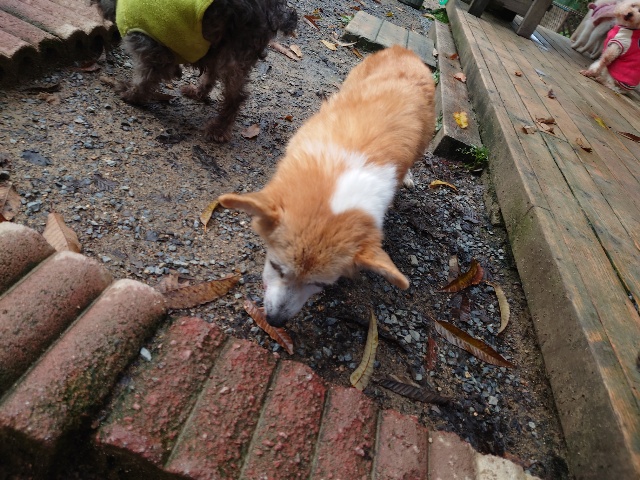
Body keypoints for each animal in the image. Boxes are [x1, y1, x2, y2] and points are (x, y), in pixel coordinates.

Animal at [94, 0, 297, 142]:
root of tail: (276, 10)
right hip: (219, 44)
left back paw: (218, 130)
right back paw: (197, 92)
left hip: (234, 52)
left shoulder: (151, 48)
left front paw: (130, 94)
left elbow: (144, 79)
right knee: (212, 75)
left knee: (236, 97)